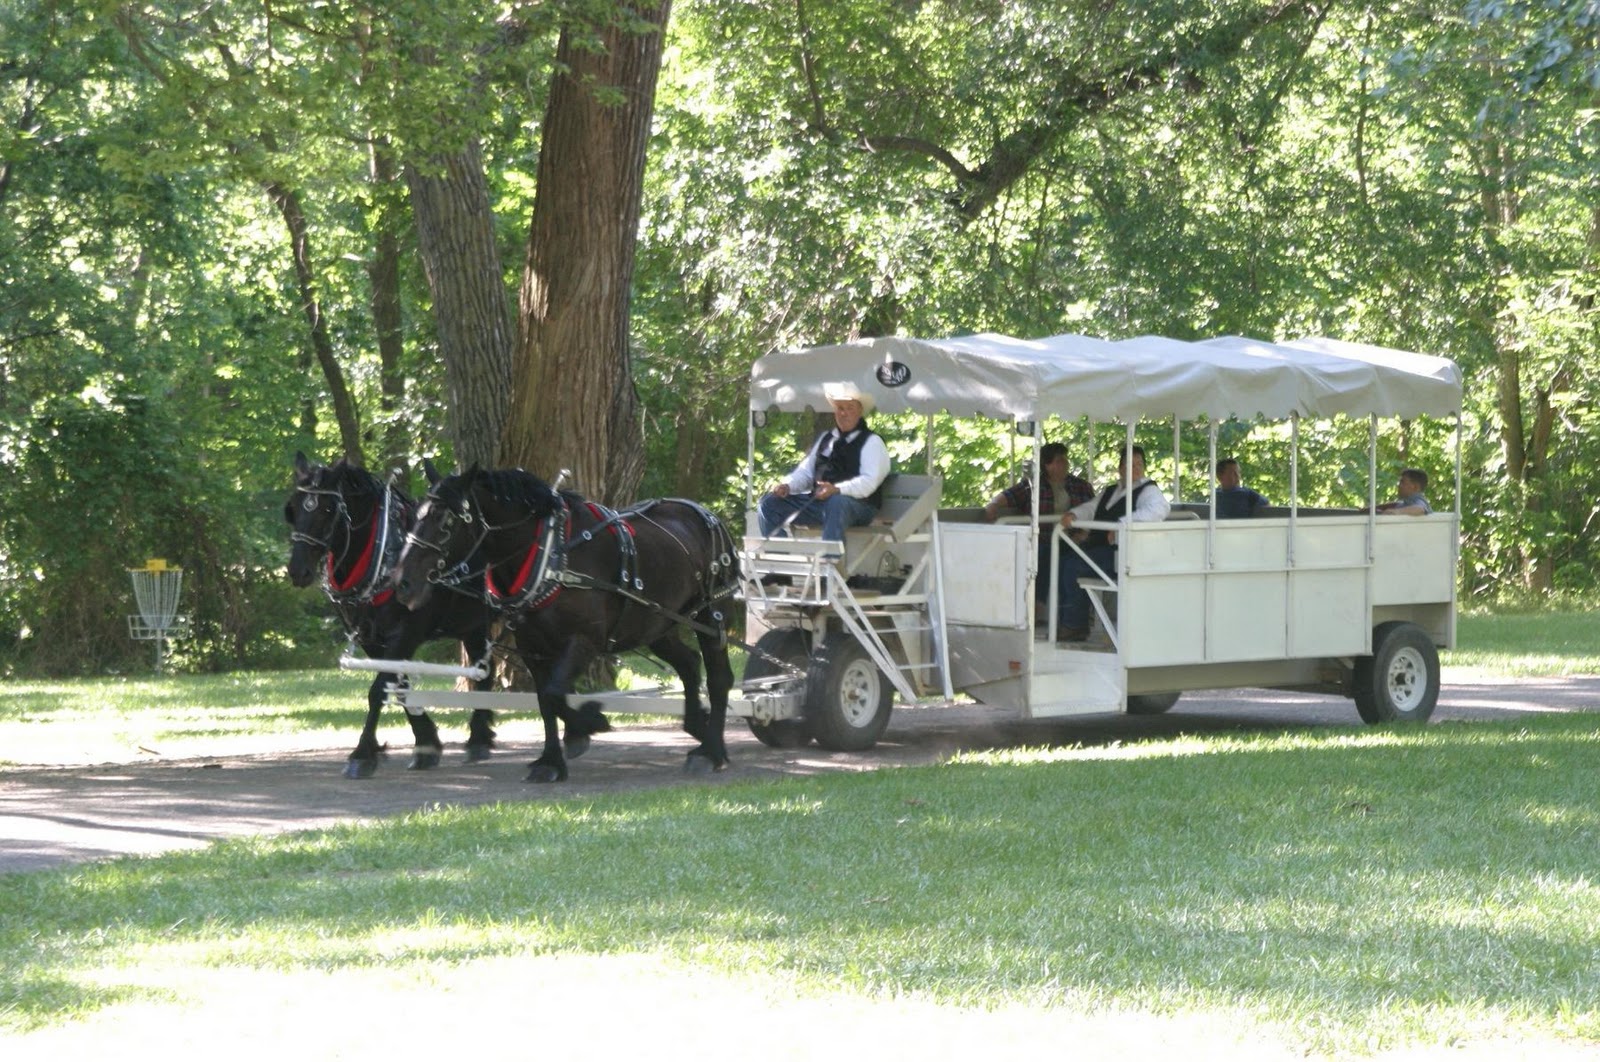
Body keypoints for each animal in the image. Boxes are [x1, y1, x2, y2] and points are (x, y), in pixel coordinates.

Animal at [281, 454, 492, 780]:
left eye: (328, 509)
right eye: (293, 507)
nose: (298, 570)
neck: (383, 552)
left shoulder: (408, 632)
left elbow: (379, 689)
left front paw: (362, 755)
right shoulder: (372, 638)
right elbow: (399, 686)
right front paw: (427, 744)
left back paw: (481, 737)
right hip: (474, 626)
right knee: (484, 672)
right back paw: (481, 734)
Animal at [390, 463, 739, 780]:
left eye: (445, 521)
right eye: (415, 514)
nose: (402, 583)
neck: (550, 555)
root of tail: (706, 515)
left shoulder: (583, 641)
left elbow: (557, 694)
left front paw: (590, 721)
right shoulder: (532, 648)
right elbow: (546, 701)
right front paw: (551, 761)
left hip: (712, 616)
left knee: (719, 678)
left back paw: (711, 751)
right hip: (657, 625)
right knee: (690, 664)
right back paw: (699, 727)